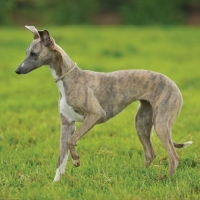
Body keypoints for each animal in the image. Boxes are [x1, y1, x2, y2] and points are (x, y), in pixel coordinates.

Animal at [14, 26, 191, 181]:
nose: (17, 71)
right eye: (26, 53)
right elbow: (61, 157)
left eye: (34, 53)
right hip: (142, 122)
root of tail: (174, 84)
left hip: (161, 123)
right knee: (150, 153)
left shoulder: (95, 114)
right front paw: (56, 183)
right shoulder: (66, 124)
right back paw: (140, 175)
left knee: (173, 157)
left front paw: (76, 160)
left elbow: (72, 141)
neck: (69, 79)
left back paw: (167, 180)